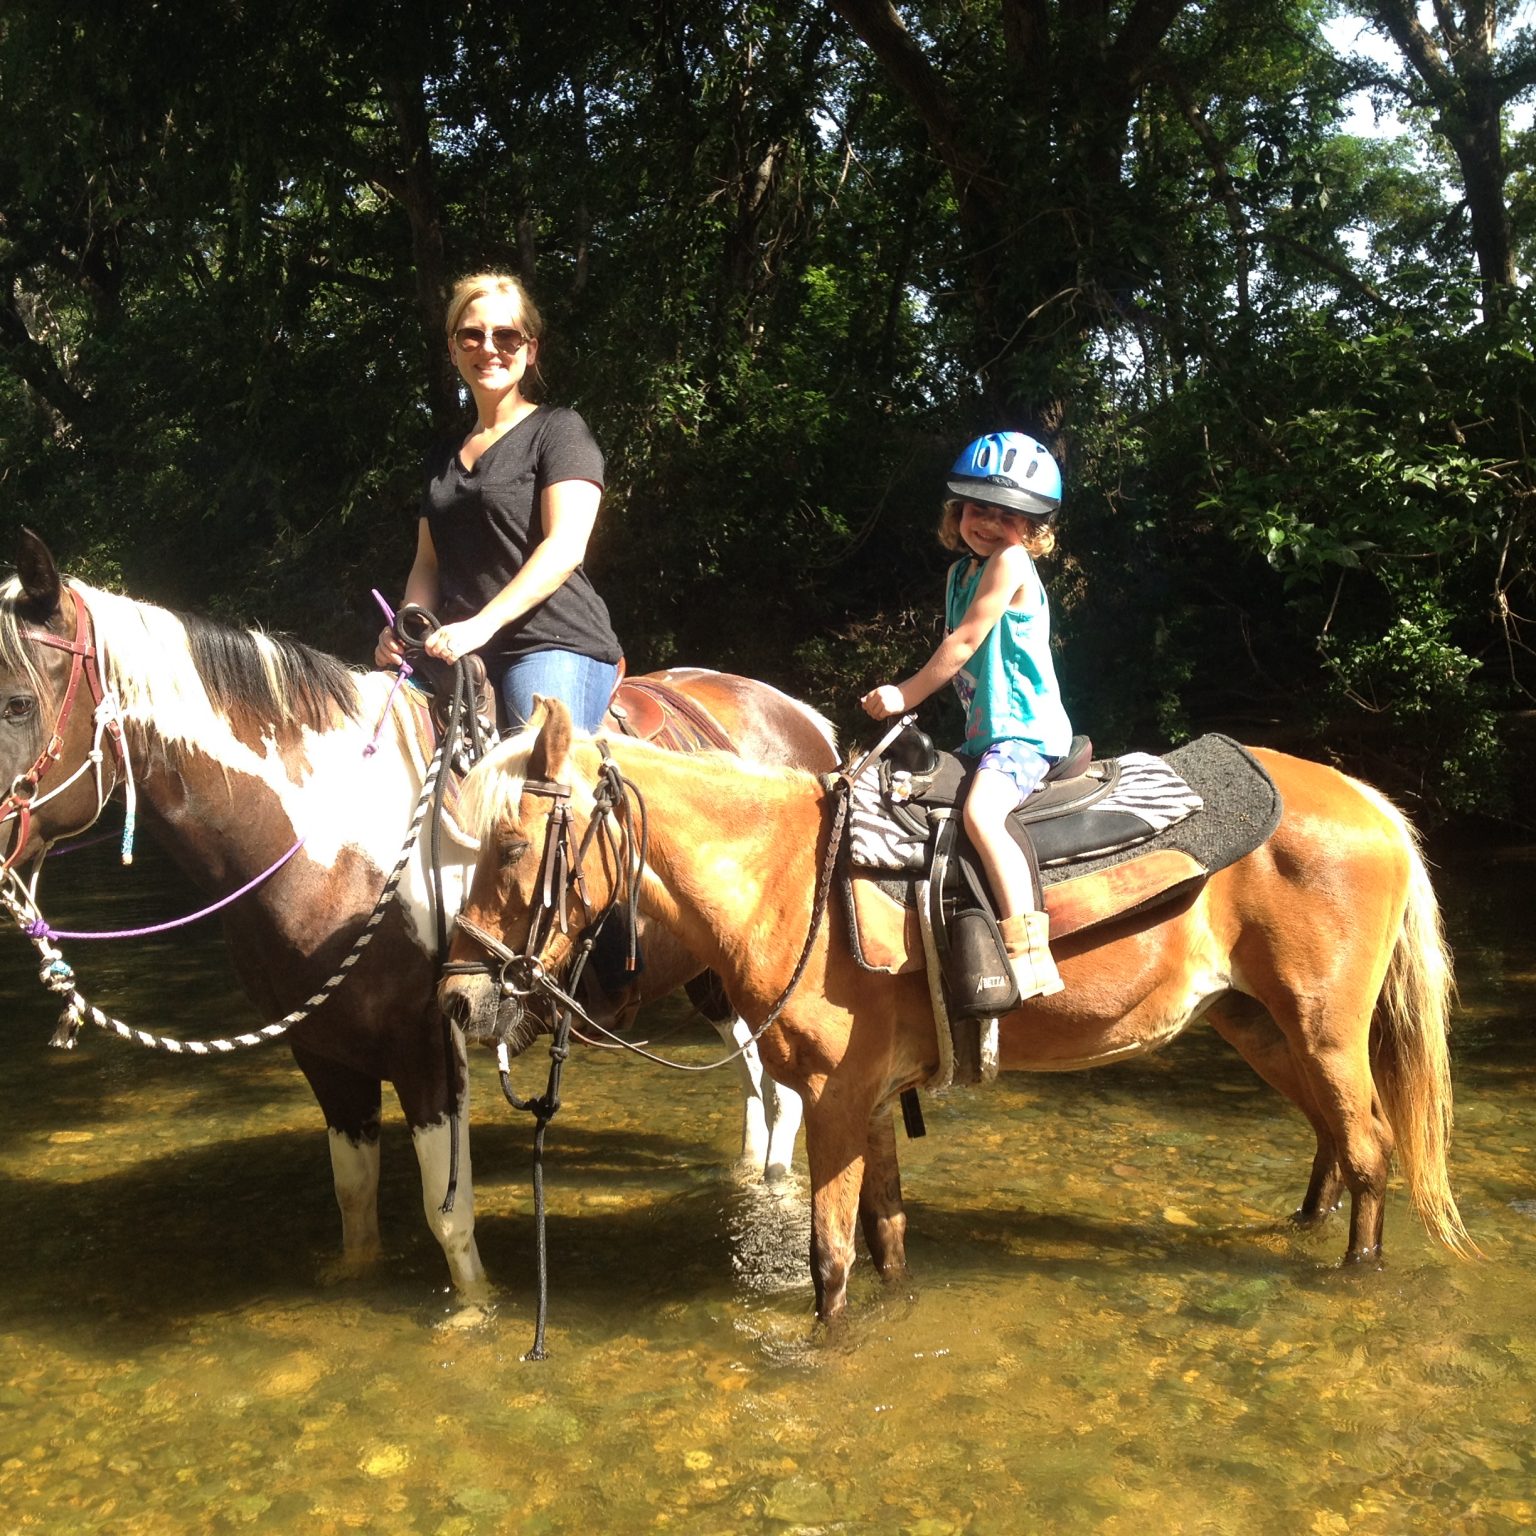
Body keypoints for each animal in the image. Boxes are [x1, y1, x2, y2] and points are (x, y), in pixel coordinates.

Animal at [448, 703, 1474, 1314]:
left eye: (511, 845)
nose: (460, 998)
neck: (787, 880)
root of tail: (1370, 802)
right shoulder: (868, 1101)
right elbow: (888, 1236)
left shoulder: (831, 1100)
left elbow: (831, 1260)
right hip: (1260, 1027)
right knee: (1336, 1142)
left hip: (1323, 1031)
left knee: (1371, 1152)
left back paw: (1355, 1273)